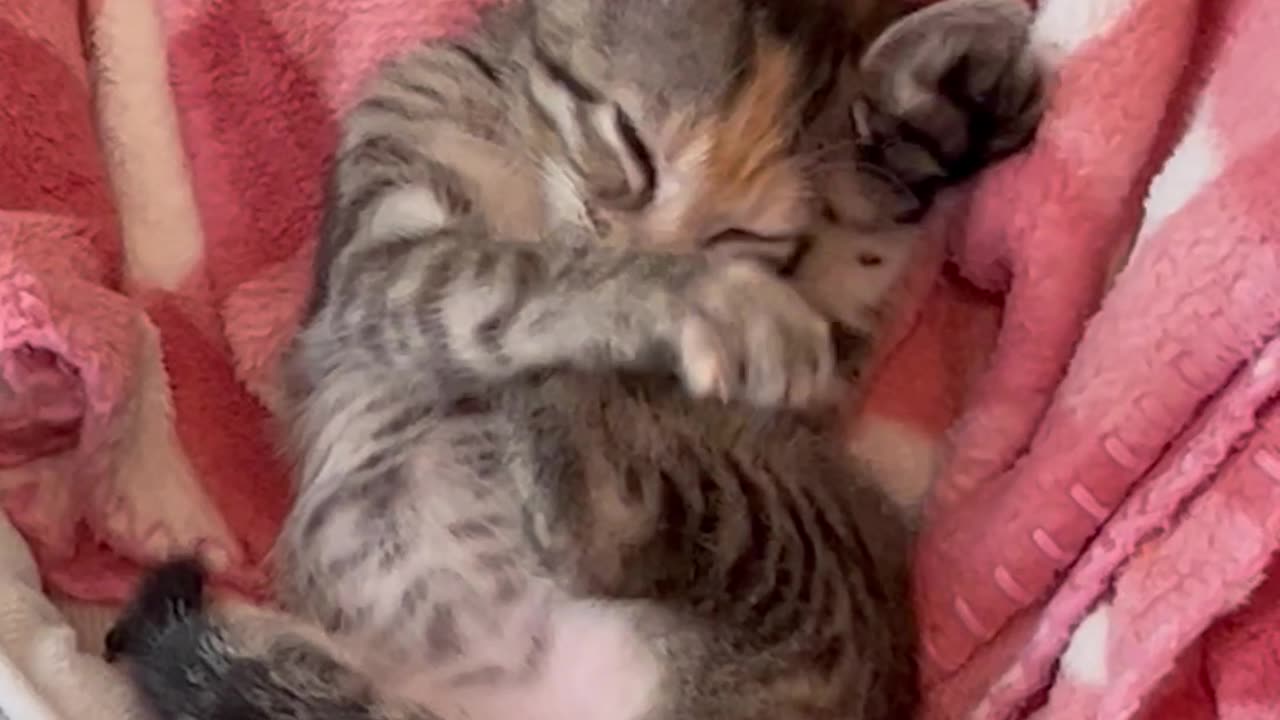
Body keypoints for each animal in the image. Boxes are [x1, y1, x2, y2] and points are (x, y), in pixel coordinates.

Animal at [102, 0, 1039, 712]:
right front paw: (680, 295)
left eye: (743, 235)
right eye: (629, 142)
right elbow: (506, 276)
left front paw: (924, 114)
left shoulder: (809, 383)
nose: (653, 248)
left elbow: (850, 272)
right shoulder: (376, 254)